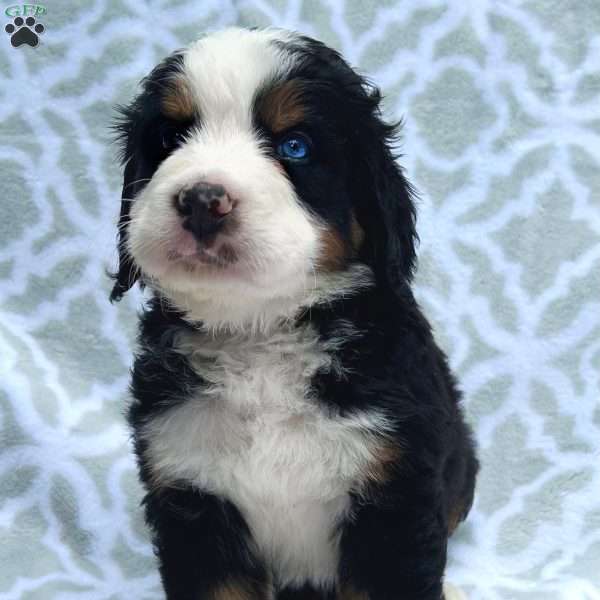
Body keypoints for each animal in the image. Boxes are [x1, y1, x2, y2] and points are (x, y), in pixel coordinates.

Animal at [111, 27, 478, 600]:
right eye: (171, 139)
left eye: (295, 146)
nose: (202, 199)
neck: (261, 339)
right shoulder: (193, 498)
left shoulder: (392, 501)